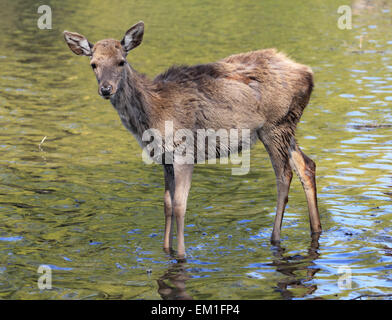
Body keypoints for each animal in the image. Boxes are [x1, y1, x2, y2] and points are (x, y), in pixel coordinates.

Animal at [63, 20, 322, 258]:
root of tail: (308, 73)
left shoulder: (184, 152)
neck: (152, 115)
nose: (106, 89)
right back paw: (316, 229)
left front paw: (181, 254)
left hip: (274, 126)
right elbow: (166, 204)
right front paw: (165, 249)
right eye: (94, 64)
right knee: (306, 164)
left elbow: (180, 205)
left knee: (284, 175)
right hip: (286, 126)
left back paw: (275, 237)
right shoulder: (164, 158)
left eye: (121, 61)